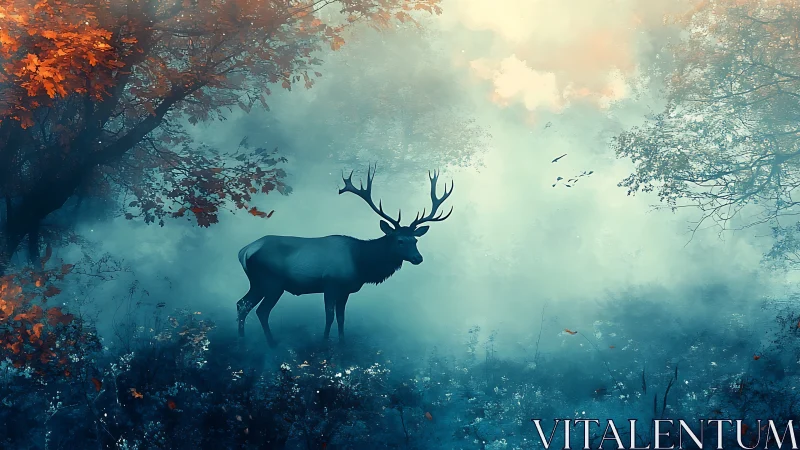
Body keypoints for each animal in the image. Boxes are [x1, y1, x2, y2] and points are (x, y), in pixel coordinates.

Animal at [235, 165, 454, 347]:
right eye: (400, 240)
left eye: (415, 240)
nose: (418, 258)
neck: (361, 263)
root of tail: (244, 251)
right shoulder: (331, 284)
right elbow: (329, 316)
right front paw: (325, 343)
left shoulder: (346, 290)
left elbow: (341, 318)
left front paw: (342, 343)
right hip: (272, 281)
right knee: (261, 311)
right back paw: (271, 343)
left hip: (257, 282)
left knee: (242, 304)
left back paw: (243, 340)